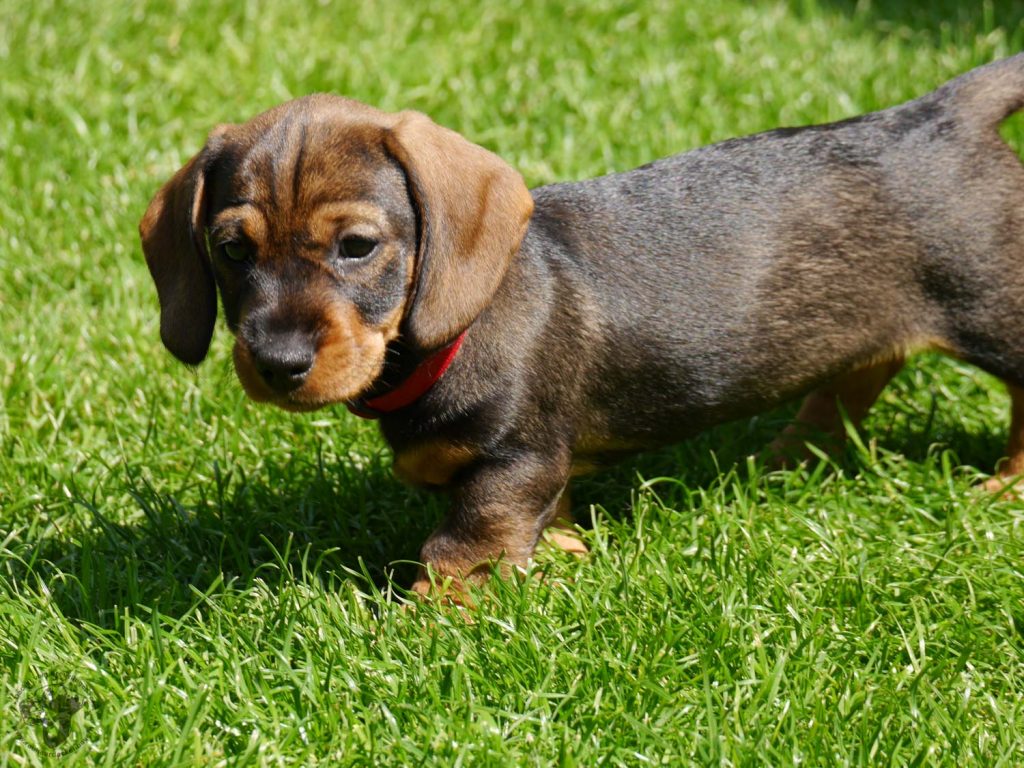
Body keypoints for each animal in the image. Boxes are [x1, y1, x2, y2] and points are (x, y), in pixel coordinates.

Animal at [142, 55, 1024, 593]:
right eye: (230, 249)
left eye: (357, 246)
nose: (277, 362)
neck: (449, 336)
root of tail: (939, 115)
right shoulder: (541, 464)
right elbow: (544, 516)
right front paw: (562, 552)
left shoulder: (513, 461)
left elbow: (462, 545)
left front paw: (425, 620)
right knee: (864, 369)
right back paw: (791, 455)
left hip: (991, 309)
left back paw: (1006, 485)